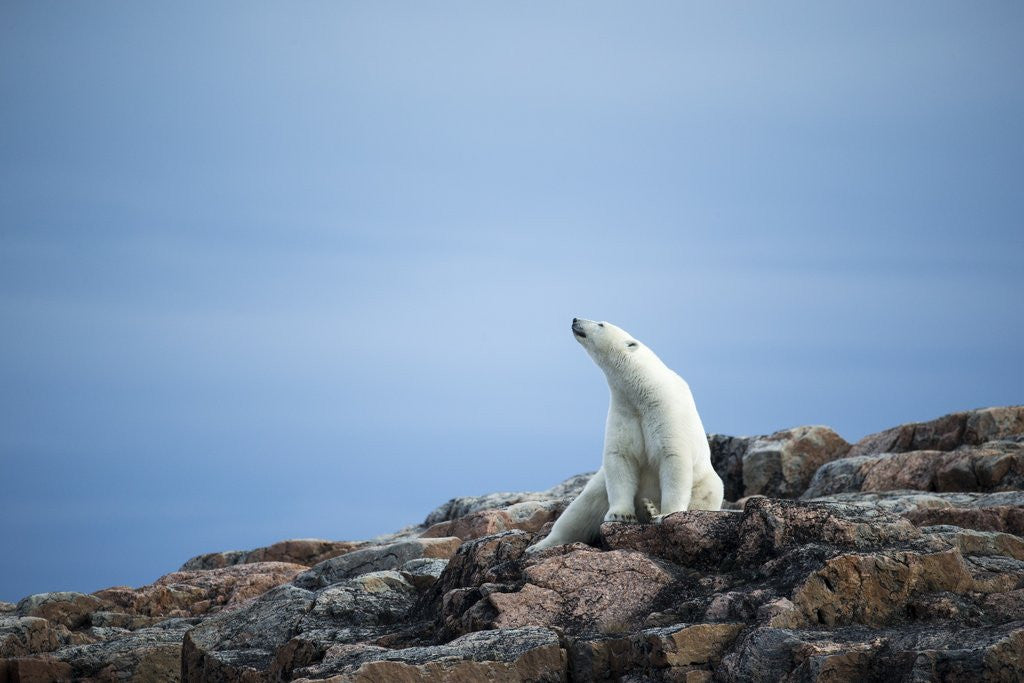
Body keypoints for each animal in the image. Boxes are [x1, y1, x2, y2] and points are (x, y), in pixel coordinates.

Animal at [528, 318, 724, 551]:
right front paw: (620, 515)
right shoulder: (625, 412)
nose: (575, 319)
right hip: (599, 488)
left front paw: (666, 514)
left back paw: (651, 508)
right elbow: (621, 457)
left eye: (600, 323)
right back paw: (539, 546)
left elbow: (673, 458)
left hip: (707, 485)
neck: (645, 392)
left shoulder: (667, 412)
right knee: (579, 511)